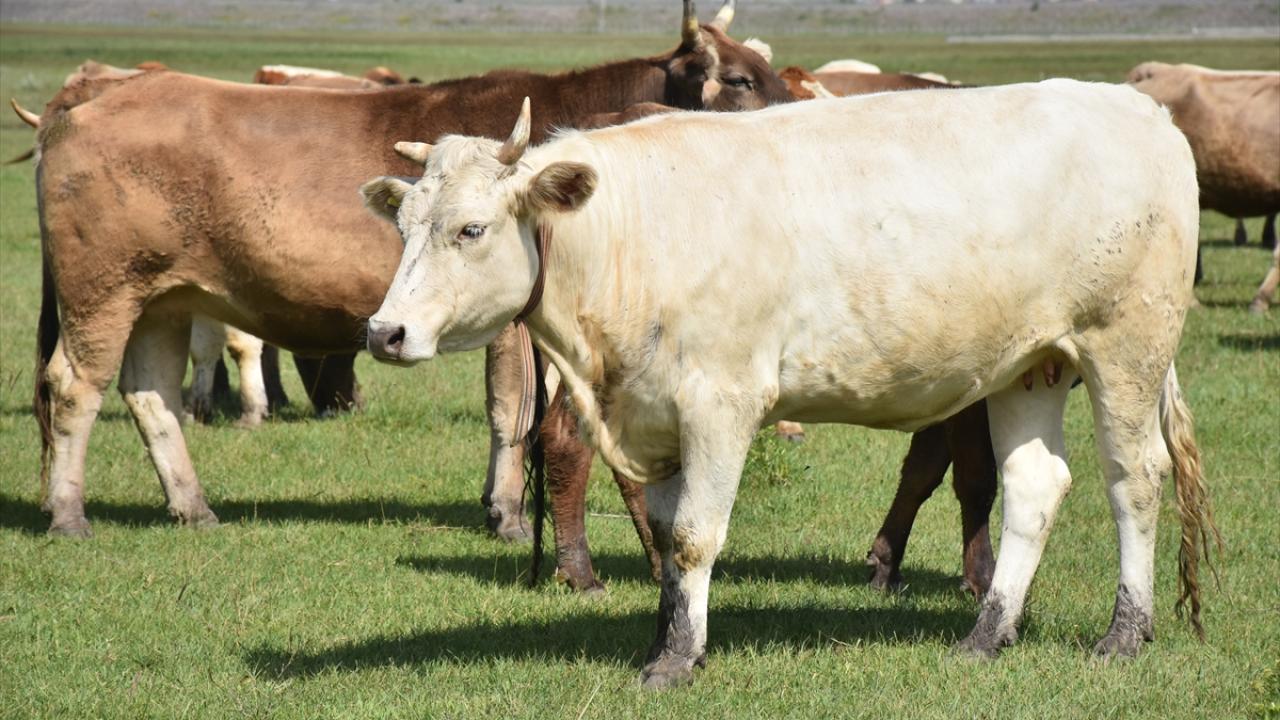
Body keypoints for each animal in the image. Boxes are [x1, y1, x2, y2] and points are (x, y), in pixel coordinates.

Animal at [27, 0, 793, 538]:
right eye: (742, 79)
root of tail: (92, 98)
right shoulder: (513, 328)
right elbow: (511, 410)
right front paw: (507, 514)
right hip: (101, 291)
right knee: (72, 388)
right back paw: (69, 514)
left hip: (163, 299)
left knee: (151, 394)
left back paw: (193, 506)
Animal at [363, 82, 1217, 687]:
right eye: (403, 227)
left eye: (471, 229)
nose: (384, 332)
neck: (630, 233)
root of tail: (1141, 109)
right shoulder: (654, 411)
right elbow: (668, 538)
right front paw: (670, 638)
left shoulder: (720, 402)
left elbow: (695, 535)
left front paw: (677, 661)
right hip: (1030, 363)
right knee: (1035, 485)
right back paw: (987, 632)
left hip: (1126, 345)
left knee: (1134, 478)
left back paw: (1124, 631)